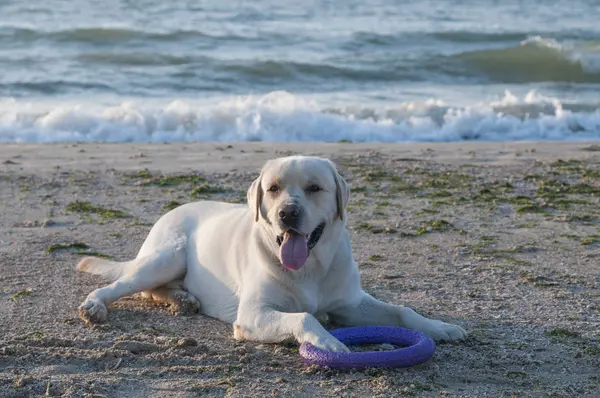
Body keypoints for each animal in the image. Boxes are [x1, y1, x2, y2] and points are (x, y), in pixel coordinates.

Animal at [76, 155, 468, 352]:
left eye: (314, 188)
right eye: (274, 188)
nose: (287, 213)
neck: (311, 266)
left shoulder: (351, 304)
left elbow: (402, 311)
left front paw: (441, 327)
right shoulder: (253, 314)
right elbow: (304, 317)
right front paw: (327, 342)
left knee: (155, 290)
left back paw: (184, 299)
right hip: (167, 256)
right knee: (125, 285)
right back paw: (95, 305)